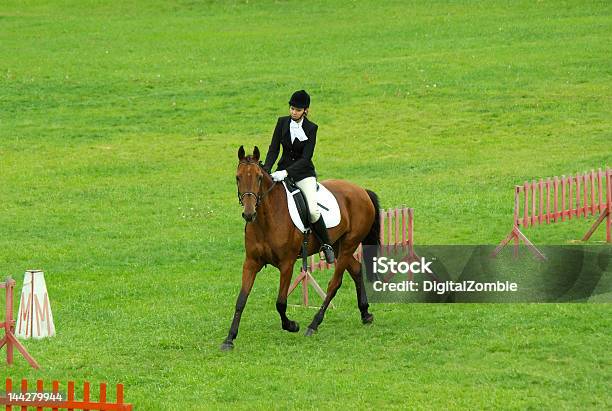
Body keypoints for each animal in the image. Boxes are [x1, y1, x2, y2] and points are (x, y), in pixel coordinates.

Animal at [222, 146, 380, 350]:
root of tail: (361, 191)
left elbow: (280, 302)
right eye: (238, 177)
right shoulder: (250, 263)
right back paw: (365, 313)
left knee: (335, 283)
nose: (249, 214)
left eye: (258, 177)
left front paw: (291, 325)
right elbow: (241, 299)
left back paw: (314, 324)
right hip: (338, 246)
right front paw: (229, 338)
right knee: (357, 270)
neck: (266, 219)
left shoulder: (286, 264)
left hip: (348, 245)